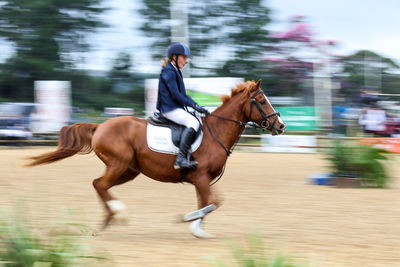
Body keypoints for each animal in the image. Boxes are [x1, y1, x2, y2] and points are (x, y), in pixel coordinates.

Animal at [27, 79, 284, 239]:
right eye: (262, 101)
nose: (281, 126)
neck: (217, 132)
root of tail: (100, 126)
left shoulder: (202, 180)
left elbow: (207, 203)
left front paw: (198, 229)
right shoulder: (201, 177)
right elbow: (212, 203)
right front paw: (187, 219)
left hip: (129, 171)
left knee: (100, 185)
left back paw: (108, 219)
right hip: (118, 164)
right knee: (100, 184)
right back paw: (119, 213)